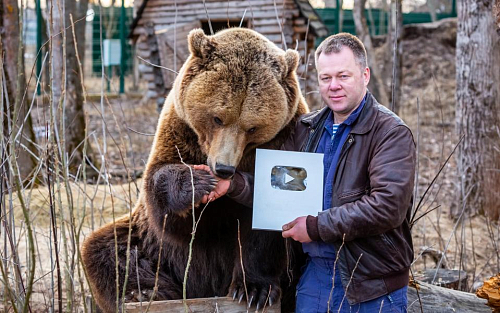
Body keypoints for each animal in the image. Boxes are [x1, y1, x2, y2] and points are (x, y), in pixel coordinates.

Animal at [81, 28, 308, 310]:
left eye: (252, 127)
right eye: (217, 117)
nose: (223, 168)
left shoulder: (284, 138)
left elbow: (263, 226)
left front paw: (253, 289)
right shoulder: (179, 131)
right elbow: (168, 209)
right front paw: (195, 182)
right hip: (151, 247)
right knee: (108, 250)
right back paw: (145, 292)